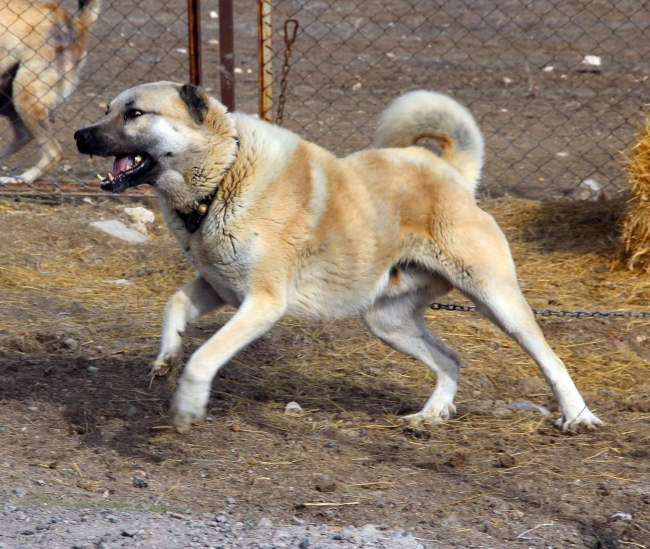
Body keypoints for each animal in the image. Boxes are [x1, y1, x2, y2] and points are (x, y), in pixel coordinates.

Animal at [0, 0, 99, 184]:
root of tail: (76, 23)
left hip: (23, 96)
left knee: (53, 153)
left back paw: (22, 179)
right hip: (11, 99)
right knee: (24, 135)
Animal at [74, 82, 604, 432]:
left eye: (134, 113)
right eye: (107, 109)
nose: (80, 134)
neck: (224, 177)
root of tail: (452, 173)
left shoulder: (262, 304)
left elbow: (206, 357)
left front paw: (187, 405)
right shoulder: (216, 288)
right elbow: (174, 306)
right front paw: (165, 358)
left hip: (496, 299)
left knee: (549, 358)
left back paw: (578, 416)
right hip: (387, 321)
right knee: (450, 359)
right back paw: (431, 414)